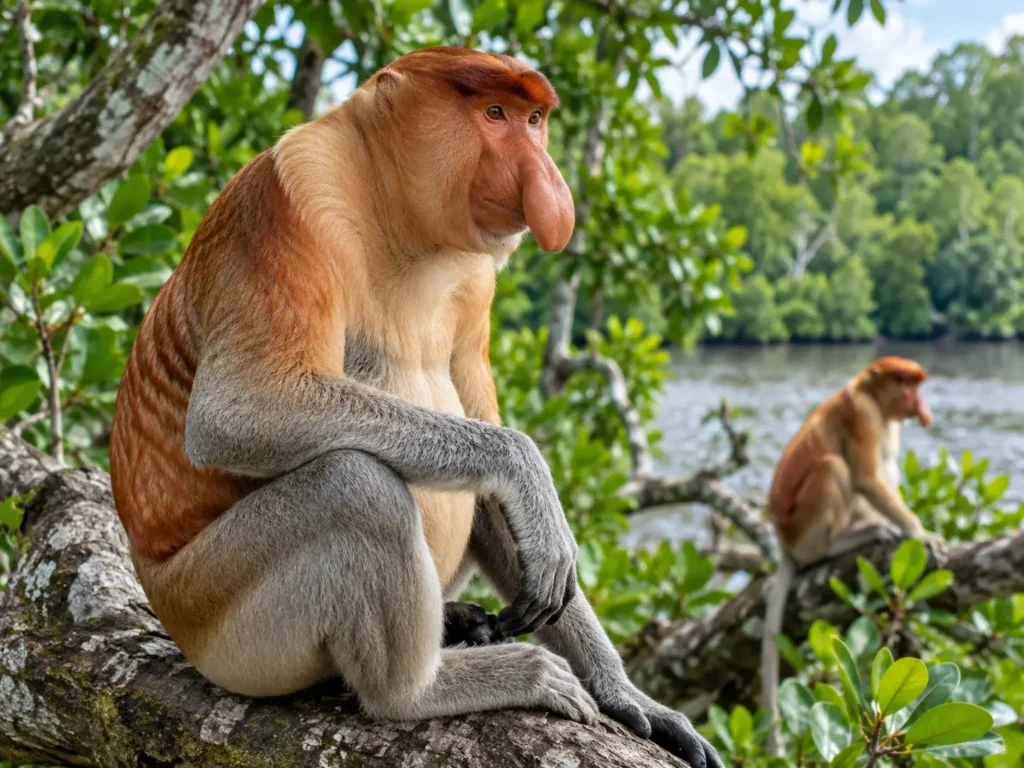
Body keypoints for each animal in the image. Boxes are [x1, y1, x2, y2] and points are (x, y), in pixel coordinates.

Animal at [108, 47, 721, 767]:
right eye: (494, 113)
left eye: (534, 120)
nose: (547, 182)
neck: (403, 225)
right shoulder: (288, 198)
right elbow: (238, 408)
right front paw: (530, 477)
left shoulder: (478, 282)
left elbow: (488, 465)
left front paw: (631, 697)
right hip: (217, 619)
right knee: (354, 488)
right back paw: (428, 688)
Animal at [759, 356, 945, 753]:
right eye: (907, 384)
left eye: (917, 385)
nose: (920, 405)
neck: (867, 392)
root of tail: (783, 542)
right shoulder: (862, 416)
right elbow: (866, 478)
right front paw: (921, 535)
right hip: (804, 528)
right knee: (834, 466)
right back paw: (845, 541)